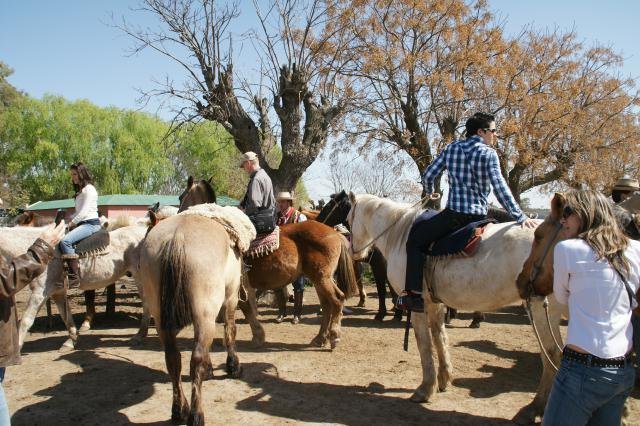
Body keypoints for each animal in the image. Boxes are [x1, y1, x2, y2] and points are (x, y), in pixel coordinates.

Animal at [0, 223, 150, 350]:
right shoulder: (58, 292)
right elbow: (66, 317)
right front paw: (71, 342)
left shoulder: (40, 292)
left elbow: (26, 320)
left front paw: (18, 348)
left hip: (141, 279)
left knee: (147, 305)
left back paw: (139, 335)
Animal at [179, 178, 360, 348]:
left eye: (181, 196)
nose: (179, 214)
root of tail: (335, 233)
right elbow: (246, 308)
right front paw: (256, 335)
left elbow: (244, 307)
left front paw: (256, 336)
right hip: (319, 280)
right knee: (327, 305)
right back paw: (320, 338)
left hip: (322, 278)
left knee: (337, 300)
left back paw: (334, 336)